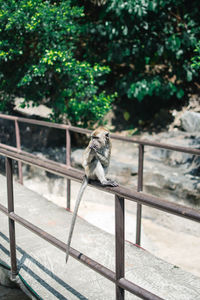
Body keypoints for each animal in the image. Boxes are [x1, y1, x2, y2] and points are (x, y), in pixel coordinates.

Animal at [66, 126, 118, 262]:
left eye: (96, 138)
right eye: (92, 138)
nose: (93, 143)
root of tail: (87, 175)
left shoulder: (110, 145)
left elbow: (106, 162)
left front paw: (97, 151)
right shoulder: (88, 148)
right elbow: (86, 160)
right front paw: (93, 151)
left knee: (103, 164)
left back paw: (105, 179)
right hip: (90, 172)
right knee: (94, 162)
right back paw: (104, 181)